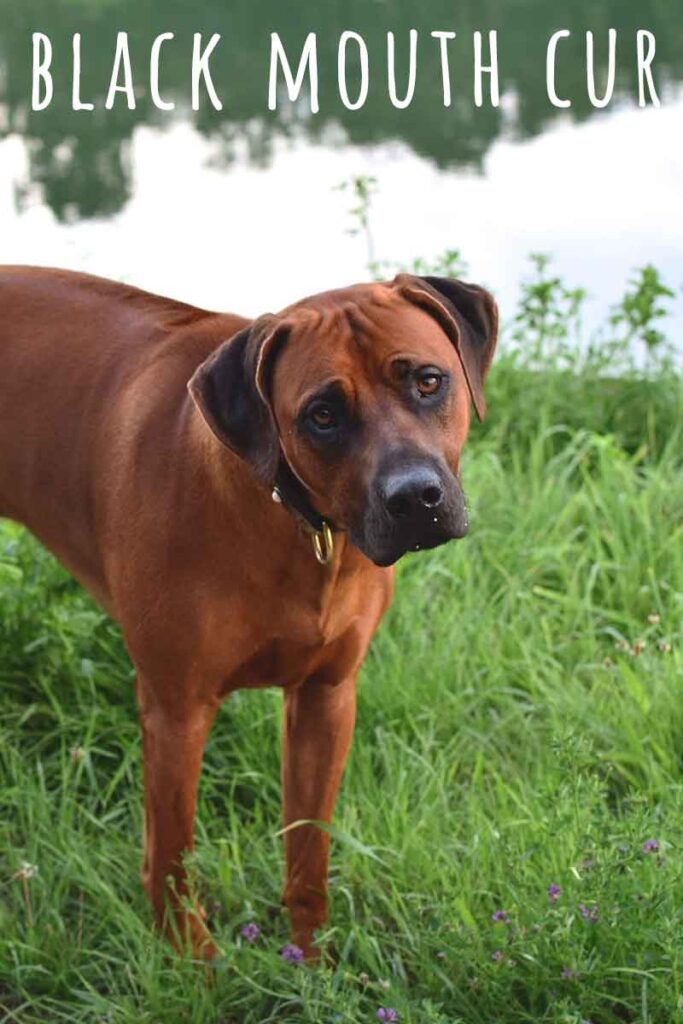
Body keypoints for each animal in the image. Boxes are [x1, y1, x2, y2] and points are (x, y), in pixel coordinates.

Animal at [0, 266, 497, 958]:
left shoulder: (326, 696)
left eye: (428, 381)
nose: (414, 498)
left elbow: (309, 849)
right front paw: (192, 965)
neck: (293, 521)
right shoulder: (175, 710)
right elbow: (172, 860)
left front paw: (313, 961)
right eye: (322, 415)